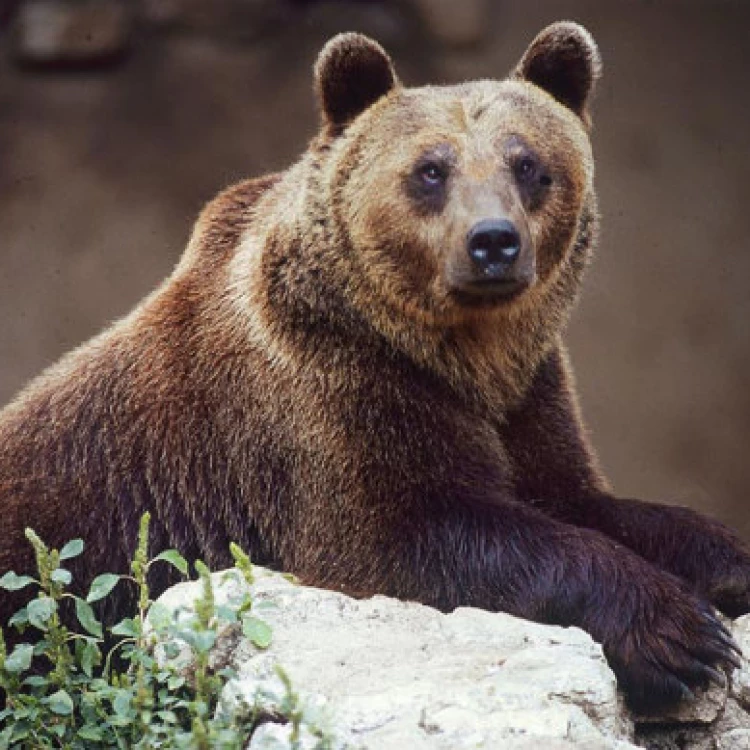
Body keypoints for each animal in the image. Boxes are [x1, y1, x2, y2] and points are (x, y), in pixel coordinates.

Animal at [1, 23, 750, 712]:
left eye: (529, 163)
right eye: (431, 169)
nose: (494, 242)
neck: (461, 355)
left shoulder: (528, 392)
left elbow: (580, 497)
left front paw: (726, 562)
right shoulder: (328, 398)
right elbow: (412, 538)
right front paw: (678, 632)